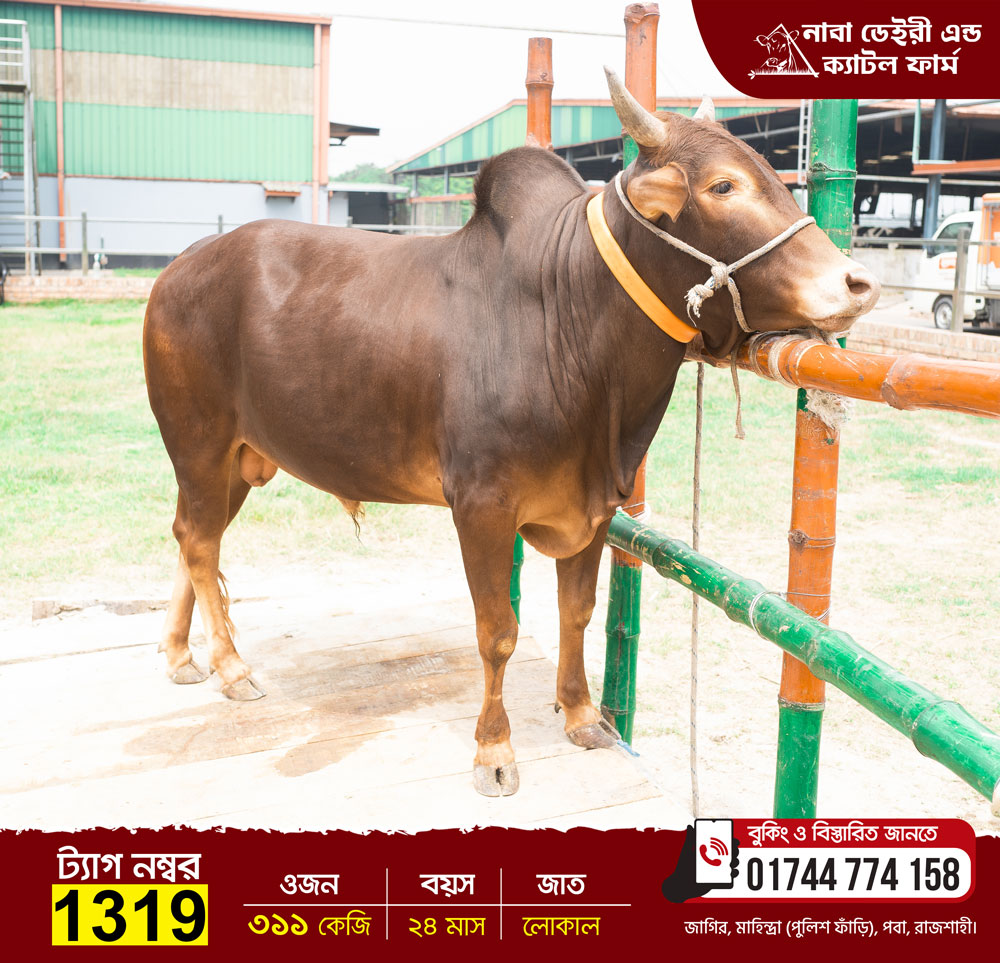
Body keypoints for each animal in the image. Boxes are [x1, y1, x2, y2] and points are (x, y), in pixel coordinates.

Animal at [143, 70, 879, 797]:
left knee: (192, 536)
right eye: (724, 185)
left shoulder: (597, 503)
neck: (571, 321)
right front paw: (494, 750)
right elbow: (497, 632)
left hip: (239, 458)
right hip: (198, 441)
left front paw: (580, 713)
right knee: (200, 543)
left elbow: (576, 611)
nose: (857, 282)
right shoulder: (481, 506)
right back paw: (232, 667)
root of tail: (179, 267)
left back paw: (182, 655)